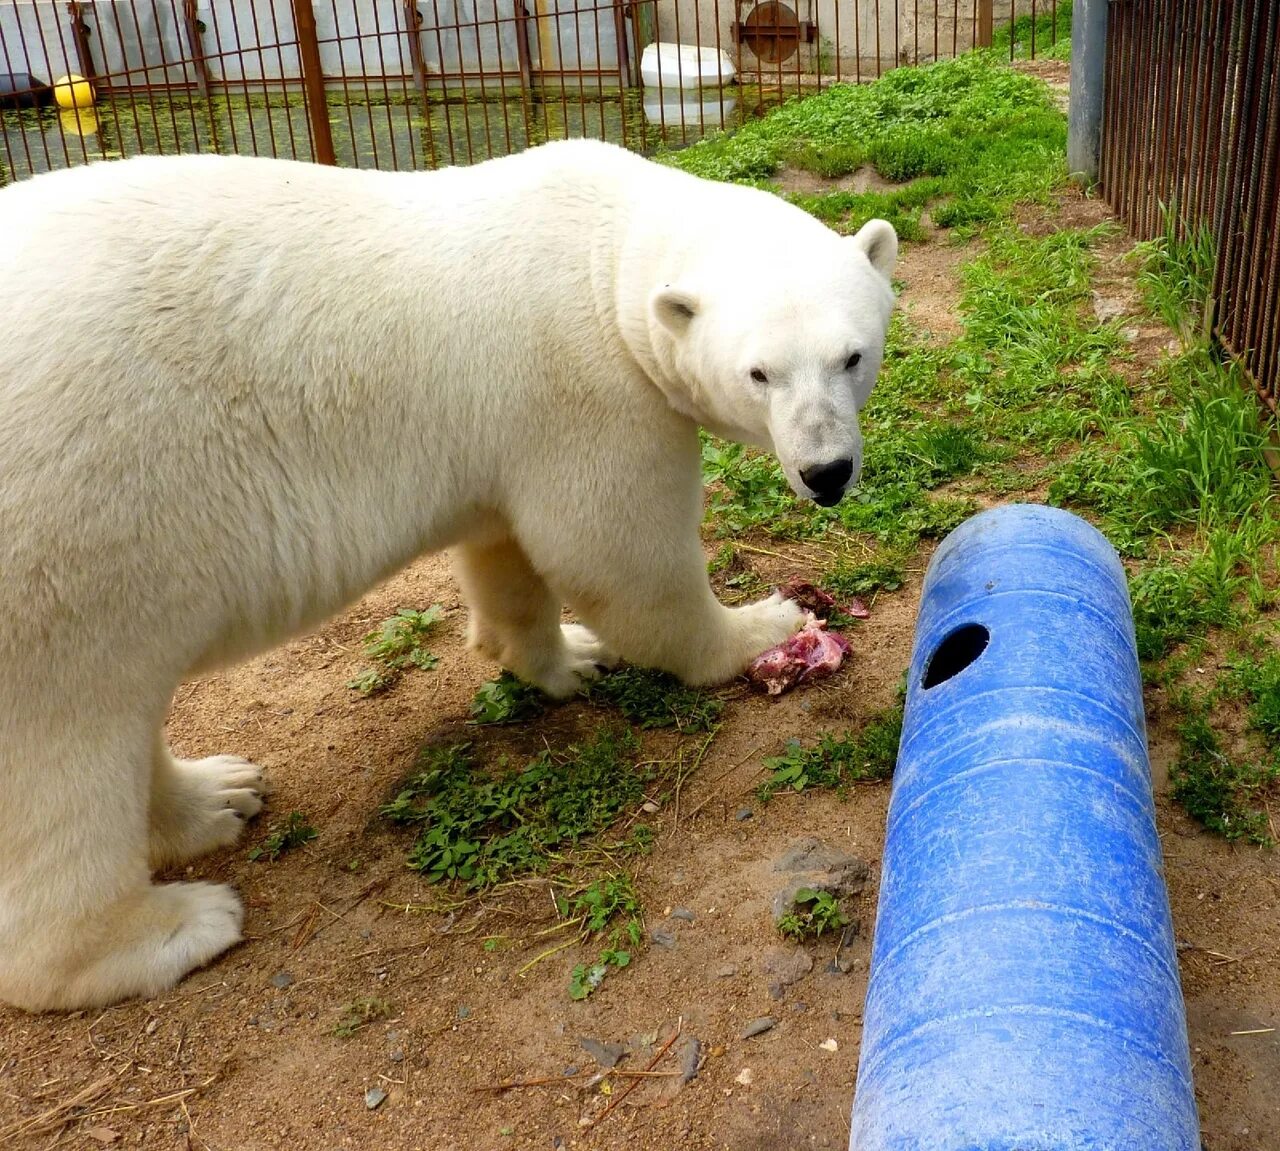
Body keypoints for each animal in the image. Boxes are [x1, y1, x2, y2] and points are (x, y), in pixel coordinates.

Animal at [0, 141, 901, 1008]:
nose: (827, 471)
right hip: (72, 528)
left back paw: (219, 794)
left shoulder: (512, 427)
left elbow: (508, 553)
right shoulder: (591, 388)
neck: (606, 250)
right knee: (70, 741)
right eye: (759, 372)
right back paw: (175, 924)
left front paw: (567, 658)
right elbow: (621, 552)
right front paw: (766, 623)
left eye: (853, 356)